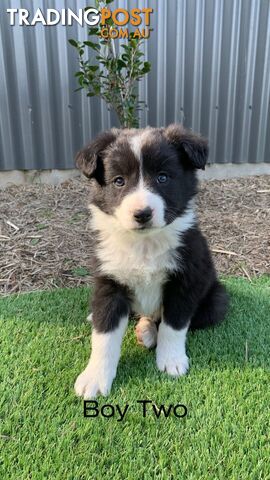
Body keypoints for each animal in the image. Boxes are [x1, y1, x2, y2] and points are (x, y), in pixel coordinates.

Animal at [74, 123, 228, 398]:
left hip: (216, 300)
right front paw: (94, 377)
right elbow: (104, 335)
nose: (142, 213)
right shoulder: (109, 282)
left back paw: (147, 332)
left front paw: (171, 361)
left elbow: (173, 325)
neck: (144, 244)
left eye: (163, 178)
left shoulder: (185, 281)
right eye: (119, 181)